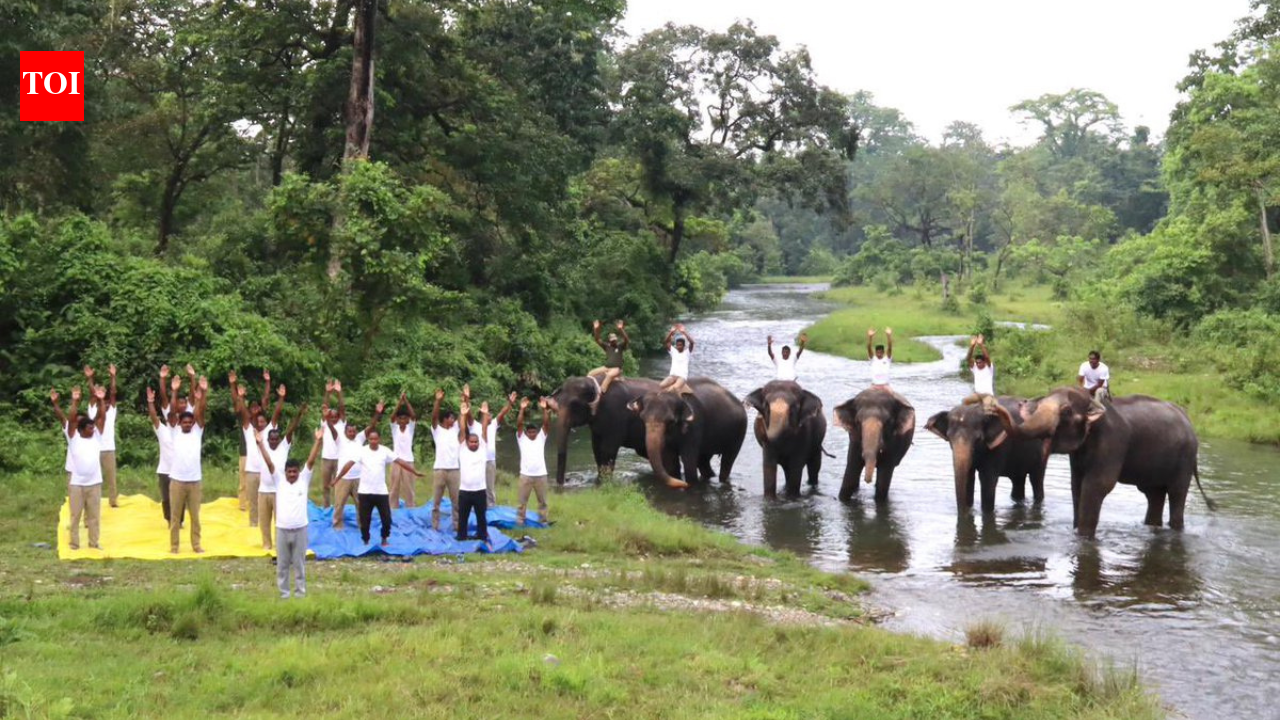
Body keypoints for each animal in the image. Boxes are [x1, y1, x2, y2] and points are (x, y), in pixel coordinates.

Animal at [991, 387, 1217, 538]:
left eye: (1066, 412)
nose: (994, 407)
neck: (1092, 402)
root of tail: (1189, 422)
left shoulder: (1112, 442)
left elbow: (1097, 485)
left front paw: (1083, 537)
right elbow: (1077, 485)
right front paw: (1075, 531)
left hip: (1184, 458)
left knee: (1177, 493)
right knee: (1154, 494)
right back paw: (1151, 527)